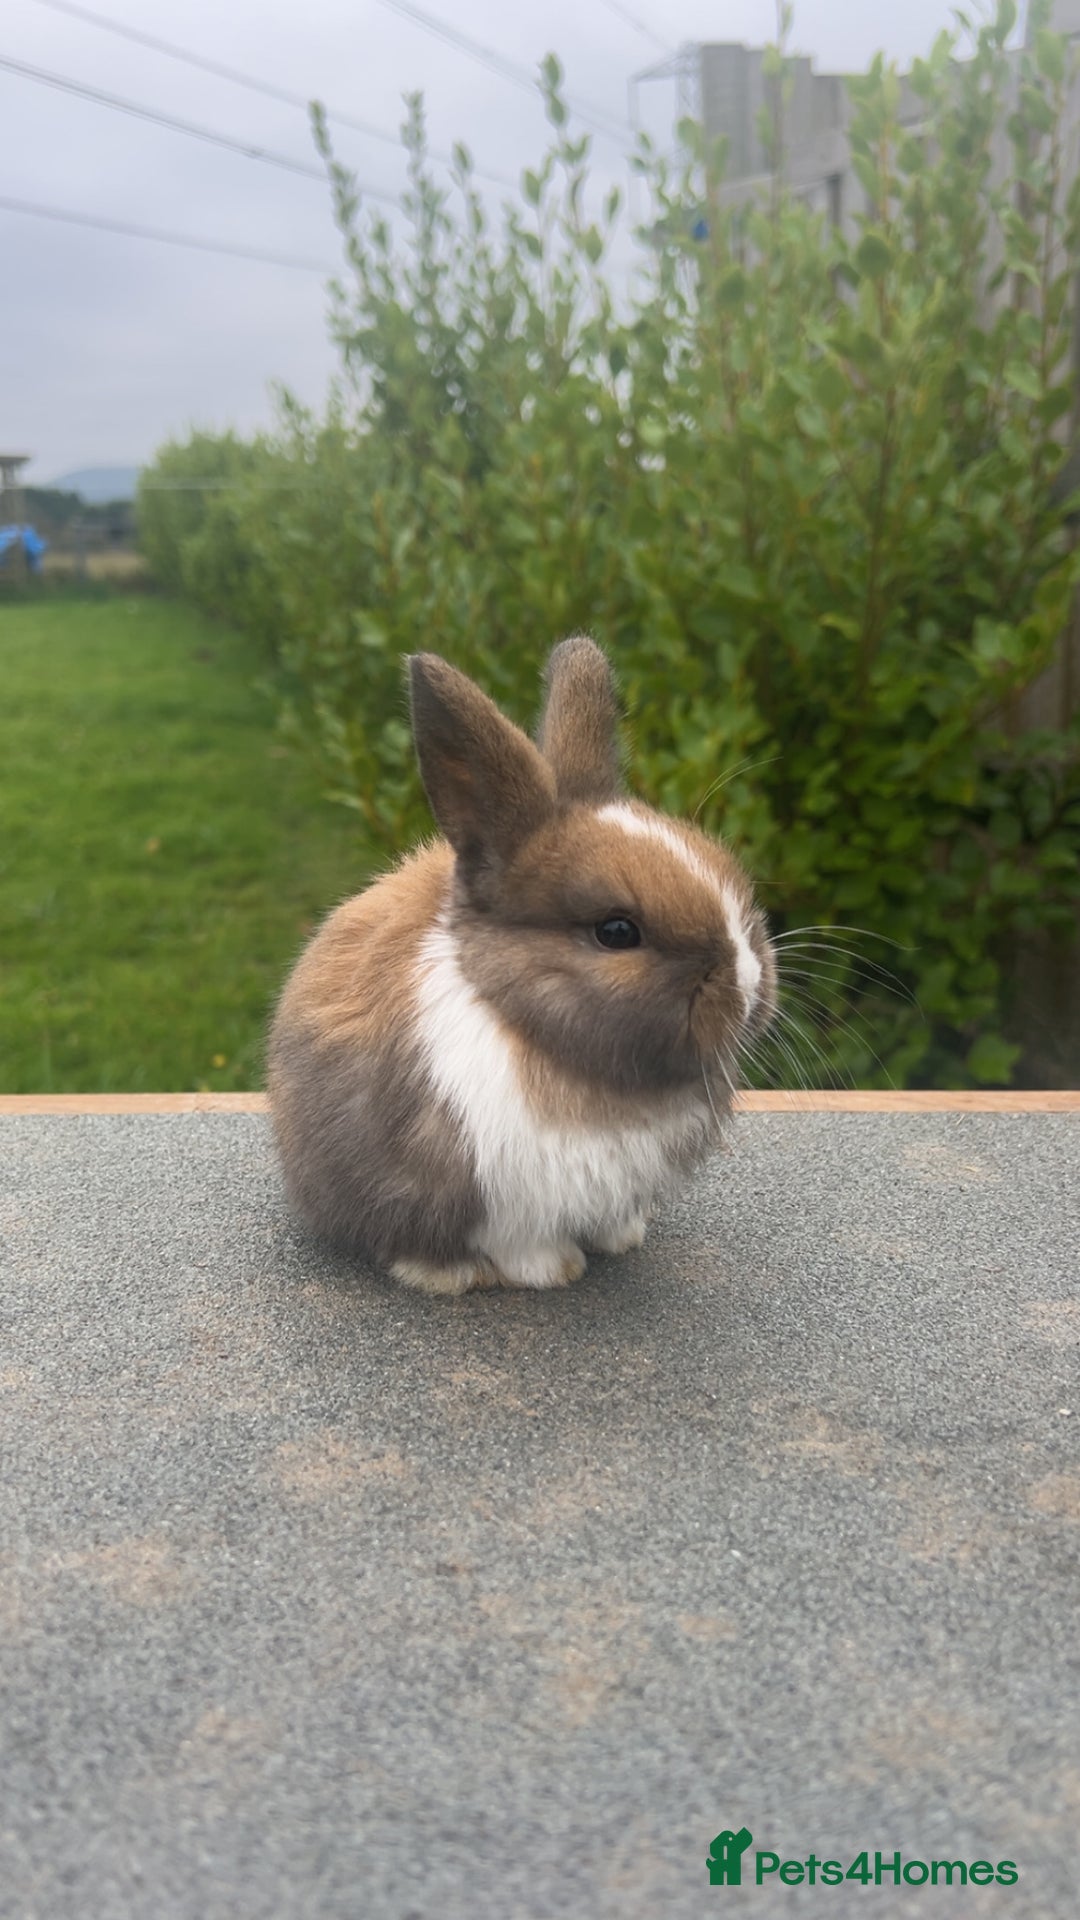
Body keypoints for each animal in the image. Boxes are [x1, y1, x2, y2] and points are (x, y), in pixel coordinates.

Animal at [267, 637, 776, 1294]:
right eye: (617, 931)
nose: (750, 986)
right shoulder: (497, 1195)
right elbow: (518, 1243)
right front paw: (555, 1270)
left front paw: (624, 1237)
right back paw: (447, 1273)